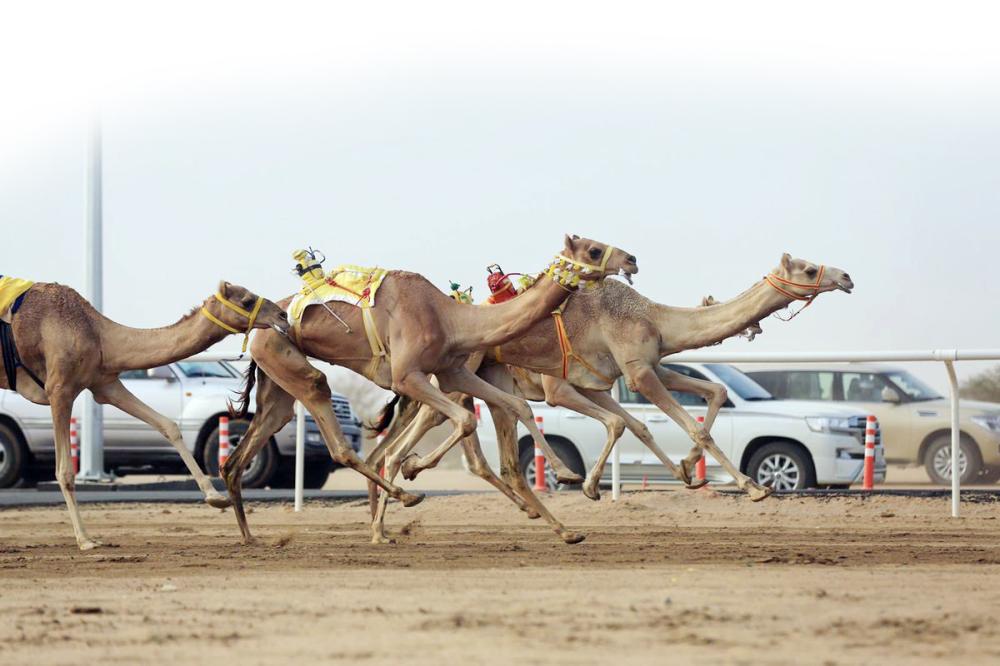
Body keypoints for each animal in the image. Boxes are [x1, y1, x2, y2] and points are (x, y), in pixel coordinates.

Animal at [0, 278, 290, 548]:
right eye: (247, 301)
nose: (283, 316)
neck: (99, 335)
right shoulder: (59, 390)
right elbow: (64, 471)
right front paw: (85, 540)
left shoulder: (104, 384)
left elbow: (168, 426)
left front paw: (216, 498)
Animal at [223, 235, 636, 544]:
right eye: (593, 249)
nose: (631, 258)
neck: (450, 317)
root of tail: (259, 327)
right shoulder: (409, 376)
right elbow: (465, 421)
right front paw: (413, 467)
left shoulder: (453, 372)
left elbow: (513, 409)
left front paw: (567, 490)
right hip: (291, 363)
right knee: (339, 436)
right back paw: (402, 500)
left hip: (275, 377)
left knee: (240, 455)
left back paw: (249, 535)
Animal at [368, 253, 852, 540]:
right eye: (809, 269)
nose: (846, 276)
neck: (654, 316)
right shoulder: (619, 375)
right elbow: (662, 423)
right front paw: (753, 487)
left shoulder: (630, 369)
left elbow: (673, 407)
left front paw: (685, 471)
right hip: (456, 373)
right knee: (418, 437)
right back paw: (403, 487)